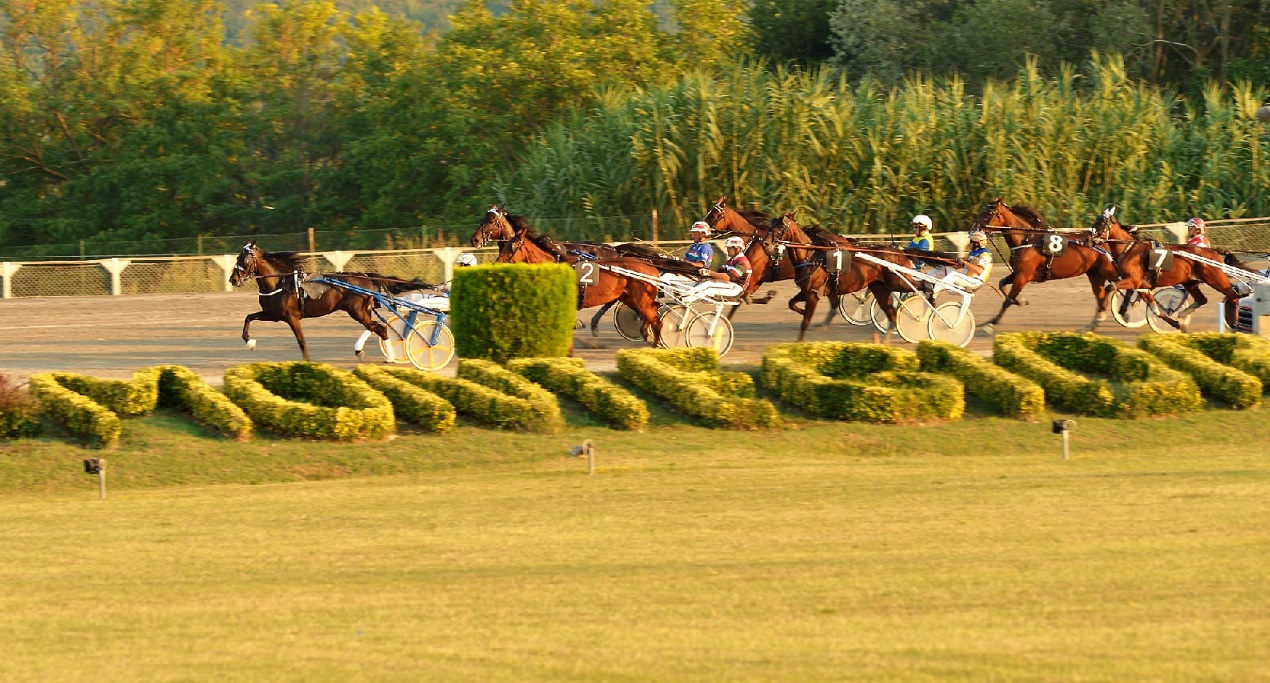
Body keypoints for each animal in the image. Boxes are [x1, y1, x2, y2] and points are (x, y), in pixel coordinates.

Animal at [224, 238, 411, 358]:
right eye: (237, 257)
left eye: (244, 258)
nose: (233, 279)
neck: (279, 283)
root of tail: (365, 276)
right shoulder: (273, 315)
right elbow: (248, 317)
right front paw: (250, 342)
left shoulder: (291, 317)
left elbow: (302, 342)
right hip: (362, 311)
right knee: (375, 327)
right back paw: (362, 351)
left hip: (357, 311)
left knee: (380, 329)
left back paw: (389, 357)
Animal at [970, 196, 1122, 332]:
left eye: (988, 213)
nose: (973, 230)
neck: (1027, 239)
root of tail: (1105, 240)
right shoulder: (1018, 273)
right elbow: (1002, 285)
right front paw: (1021, 301)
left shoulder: (1023, 276)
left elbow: (1008, 300)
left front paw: (991, 324)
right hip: (1095, 275)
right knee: (1102, 296)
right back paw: (1096, 321)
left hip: (1109, 270)